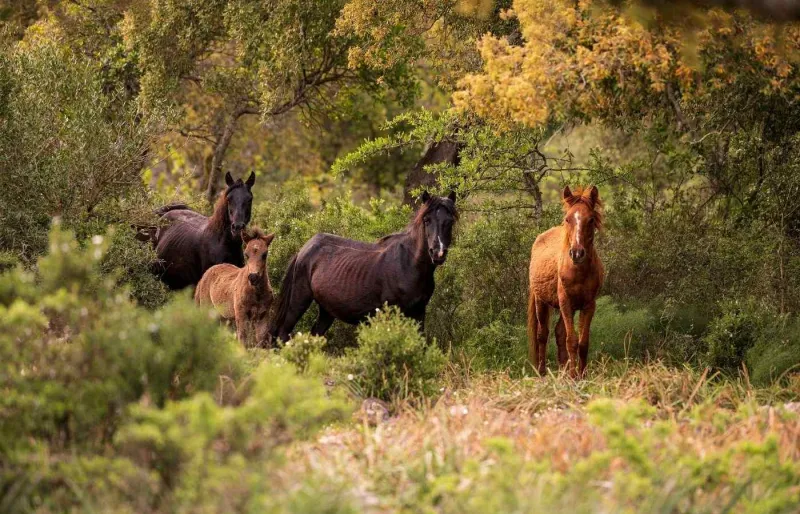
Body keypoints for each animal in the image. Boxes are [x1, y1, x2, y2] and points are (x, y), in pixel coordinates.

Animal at [269, 191, 458, 343]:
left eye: (449, 222)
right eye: (427, 220)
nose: (438, 253)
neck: (409, 264)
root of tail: (304, 248)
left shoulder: (419, 312)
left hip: (326, 310)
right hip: (299, 301)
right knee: (283, 334)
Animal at [528, 186, 604, 378]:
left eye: (591, 219)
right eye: (568, 219)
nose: (577, 253)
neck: (578, 271)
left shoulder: (588, 305)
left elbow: (582, 343)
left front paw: (582, 376)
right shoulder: (566, 303)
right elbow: (572, 341)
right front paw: (573, 376)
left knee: (559, 333)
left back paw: (562, 370)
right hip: (541, 302)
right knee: (542, 334)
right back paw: (542, 372)